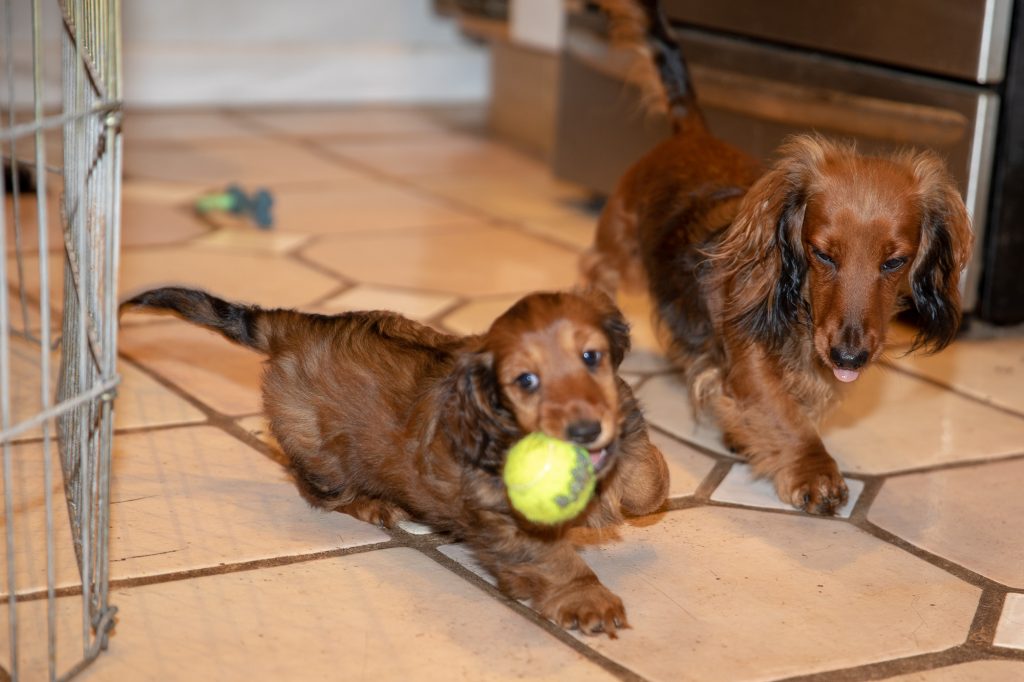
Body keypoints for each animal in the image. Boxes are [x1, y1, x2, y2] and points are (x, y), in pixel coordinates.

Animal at [119, 284, 671, 634]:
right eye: (526, 381)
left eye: (591, 357)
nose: (585, 429)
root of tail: (295, 326)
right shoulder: (504, 519)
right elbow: (551, 560)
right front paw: (587, 598)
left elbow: (648, 481)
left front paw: (639, 485)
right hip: (320, 451)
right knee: (313, 484)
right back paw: (374, 504)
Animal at [581, 0, 970, 509]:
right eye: (823, 254)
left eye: (894, 262)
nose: (849, 358)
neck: (802, 314)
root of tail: (691, 133)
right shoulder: (750, 361)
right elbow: (781, 411)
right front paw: (814, 471)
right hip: (619, 250)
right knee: (594, 271)